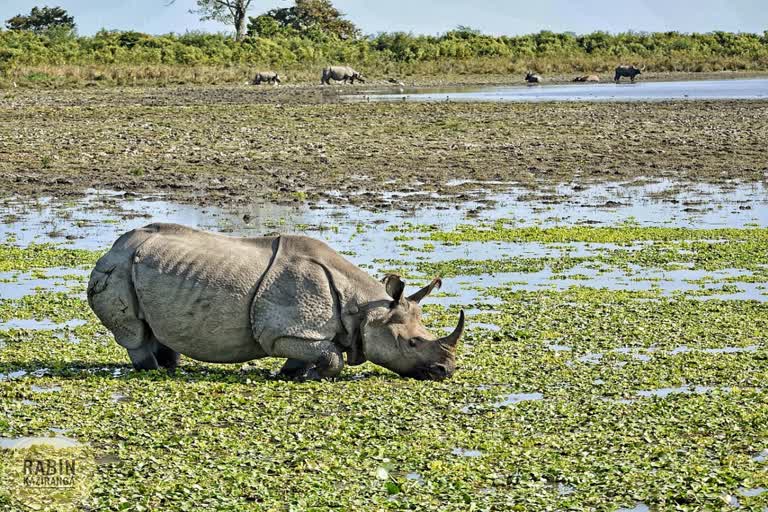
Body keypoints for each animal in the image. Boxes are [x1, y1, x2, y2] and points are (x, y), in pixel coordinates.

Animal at [87, 224, 464, 380]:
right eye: (412, 343)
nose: (444, 372)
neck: (365, 307)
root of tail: (112, 247)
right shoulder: (284, 332)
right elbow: (333, 357)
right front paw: (313, 377)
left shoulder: (301, 332)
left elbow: (318, 353)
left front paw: (291, 375)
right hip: (116, 268)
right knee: (134, 332)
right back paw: (150, 371)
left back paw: (169, 367)